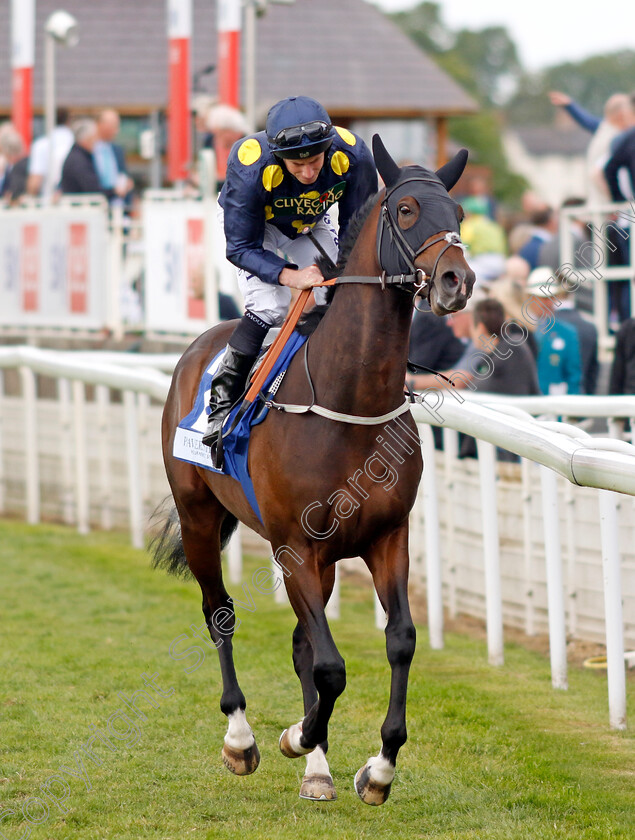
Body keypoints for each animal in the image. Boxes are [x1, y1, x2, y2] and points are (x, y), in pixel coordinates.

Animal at [153, 138, 472, 808]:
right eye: (407, 210)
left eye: (457, 208)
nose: (458, 279)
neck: (351, 403)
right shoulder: (295, 546)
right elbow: (330, 665)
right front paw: (296, 737)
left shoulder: (386, 538)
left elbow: (397, 641)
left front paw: (376, 768)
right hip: (200, 518)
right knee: (220, 613)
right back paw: (243, 737)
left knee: (304, 640)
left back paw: (316, 767)